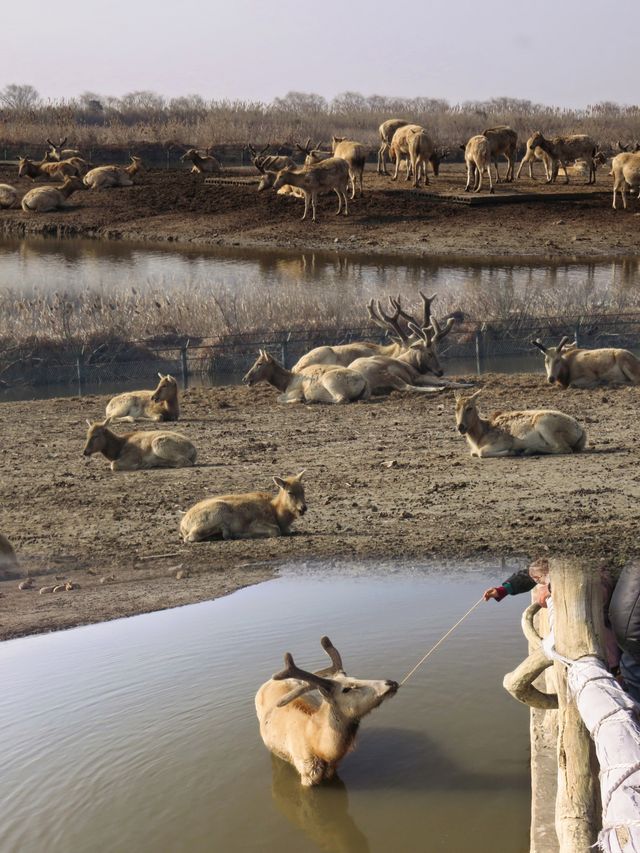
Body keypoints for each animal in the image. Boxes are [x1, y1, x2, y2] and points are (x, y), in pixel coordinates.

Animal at [180, 470, 308, 544]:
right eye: (290, 492)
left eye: (303, 490)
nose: (303, 508)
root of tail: (182, 525)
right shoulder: (256, 522)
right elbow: (275, 530)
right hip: (216, 512)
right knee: (190, 537)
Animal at [241, 350, 370, 402]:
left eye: (259, 363)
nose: (245, 378)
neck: (285, 382)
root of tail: (364, 381)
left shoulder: (296, 390)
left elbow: (279, 398)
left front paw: (299, 399)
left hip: (329, 379)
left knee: (341, 398)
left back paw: (312, 399)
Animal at [254, 632, 396, 784]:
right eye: (346, 689)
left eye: (355, 678)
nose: (390, 682)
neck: (322, 749)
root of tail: (269, 681)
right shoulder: (306, 774)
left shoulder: (333, 770)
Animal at [452, 392, 588, 460]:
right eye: (455, 408)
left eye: (470, 408)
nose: (460, 427)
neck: (479, 437)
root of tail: (581, 431)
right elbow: (473, 453)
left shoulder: (504, 441)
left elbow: (481, 452)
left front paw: (512, 451)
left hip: (544, 424)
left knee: (563, 448)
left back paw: (528, 449)